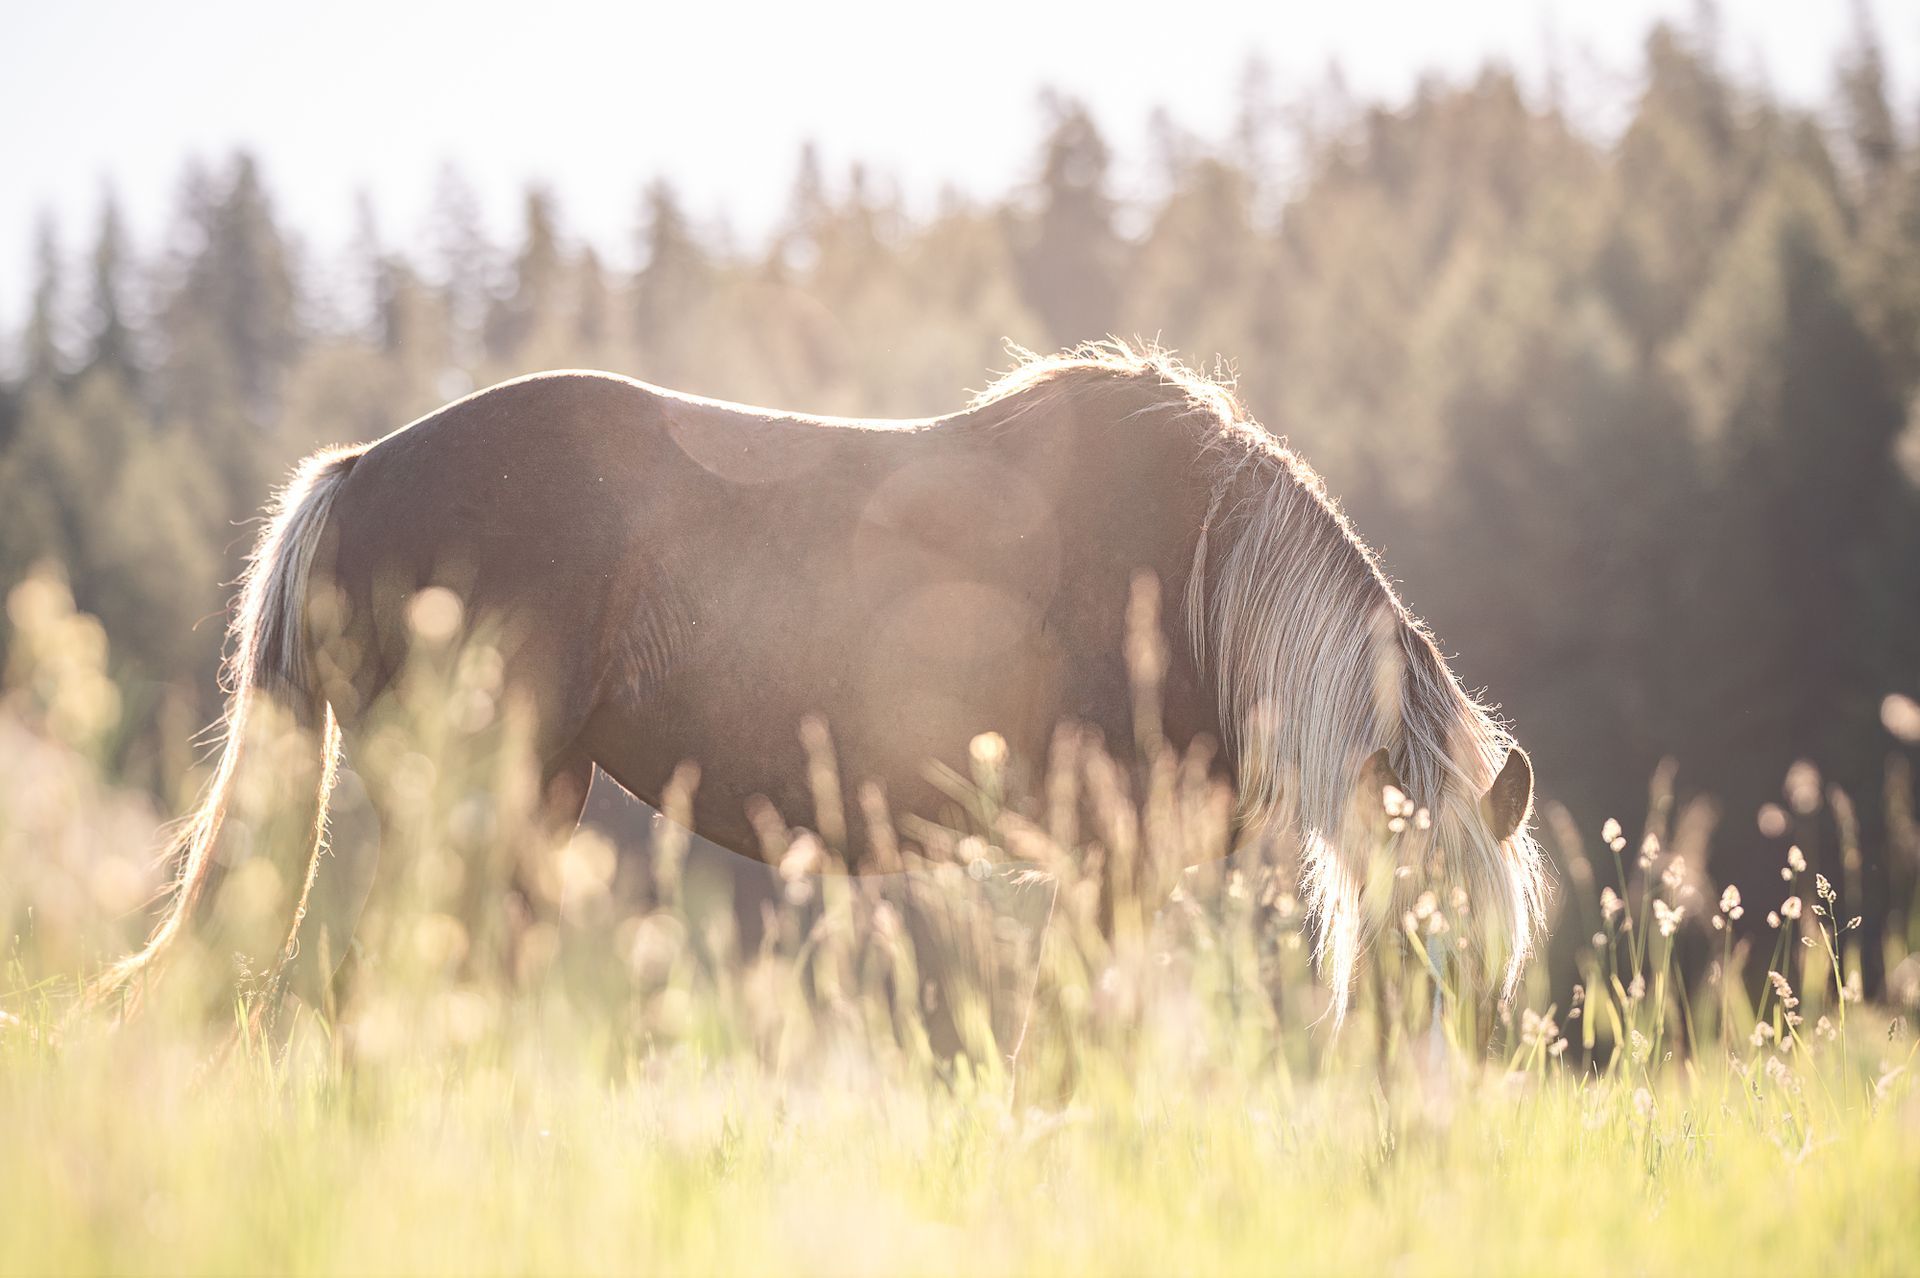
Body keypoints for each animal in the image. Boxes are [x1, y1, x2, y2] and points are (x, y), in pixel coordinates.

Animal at [90, 342, 1545, 1028]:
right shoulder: (1107, 854)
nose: (1421, 1109)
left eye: (1494, 958)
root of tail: (355, 473)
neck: (1195, 574)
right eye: (1415, 935)